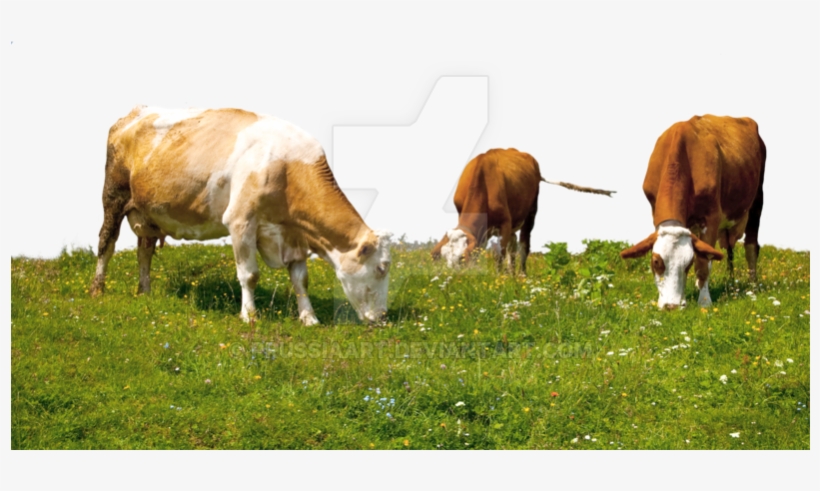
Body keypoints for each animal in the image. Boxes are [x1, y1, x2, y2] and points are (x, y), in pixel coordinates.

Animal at [90, 106, 392, 325]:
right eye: (381, 268)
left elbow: (300, 278)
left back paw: (145, 291)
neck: (289, 166)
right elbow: (249, 274)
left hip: (148, 212)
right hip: (113, 196)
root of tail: (134, 113)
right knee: (107, 242)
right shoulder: (240, 220)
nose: (383, 317)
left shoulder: (294, 234)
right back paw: (97, 289)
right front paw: (249, 315)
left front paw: (309, 318)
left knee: (145, 250)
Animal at [431, 148, 615, 275]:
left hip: (530, 214)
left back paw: (521, 274)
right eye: (444, 257)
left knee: (523, 245)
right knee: (513, 247)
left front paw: (497, 277)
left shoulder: (504, 223)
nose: (453, 277)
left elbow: (500, 254)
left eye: (461, 258)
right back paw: (511, 273)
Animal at [619, 114, 766, 310]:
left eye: (687, 263)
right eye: (656, 261)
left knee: (751, 246)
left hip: (757, 199)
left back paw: (752, 286)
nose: (671, 306)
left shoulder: (711, 218)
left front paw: (704, 301)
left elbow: (703, 262)